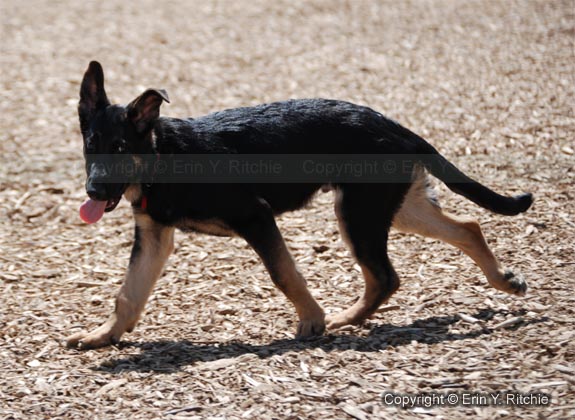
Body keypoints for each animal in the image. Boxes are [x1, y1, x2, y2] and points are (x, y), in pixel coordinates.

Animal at [67, 61, 536, 348]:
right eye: (92, 145)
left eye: (121, 147)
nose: (93, 194)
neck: (162, 156)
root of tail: (396, 126)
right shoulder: (154, 236)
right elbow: (128, 294)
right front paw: (104, 335)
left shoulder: (255, 217)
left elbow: (284, 273)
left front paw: (312, 319)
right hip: (395, 207)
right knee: (466, 228)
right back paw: (502, 280)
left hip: (360, 214)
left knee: (385, 274)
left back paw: (343, 318)